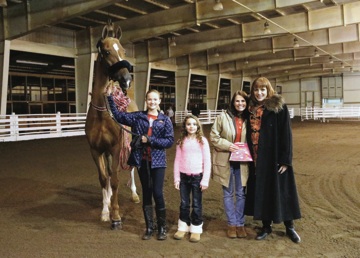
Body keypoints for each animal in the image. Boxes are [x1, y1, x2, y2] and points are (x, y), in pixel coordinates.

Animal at [86, 21, 139, 229]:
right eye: (107, 51)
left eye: (123, 50)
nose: (127, 80)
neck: (103, 113)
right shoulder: (96, 150)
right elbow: (104, 178)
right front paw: (105, 210)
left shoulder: (117, 148)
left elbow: (115, 179)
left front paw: (116, 216)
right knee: (107, 173)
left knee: (131, 168)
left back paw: (134, 195)